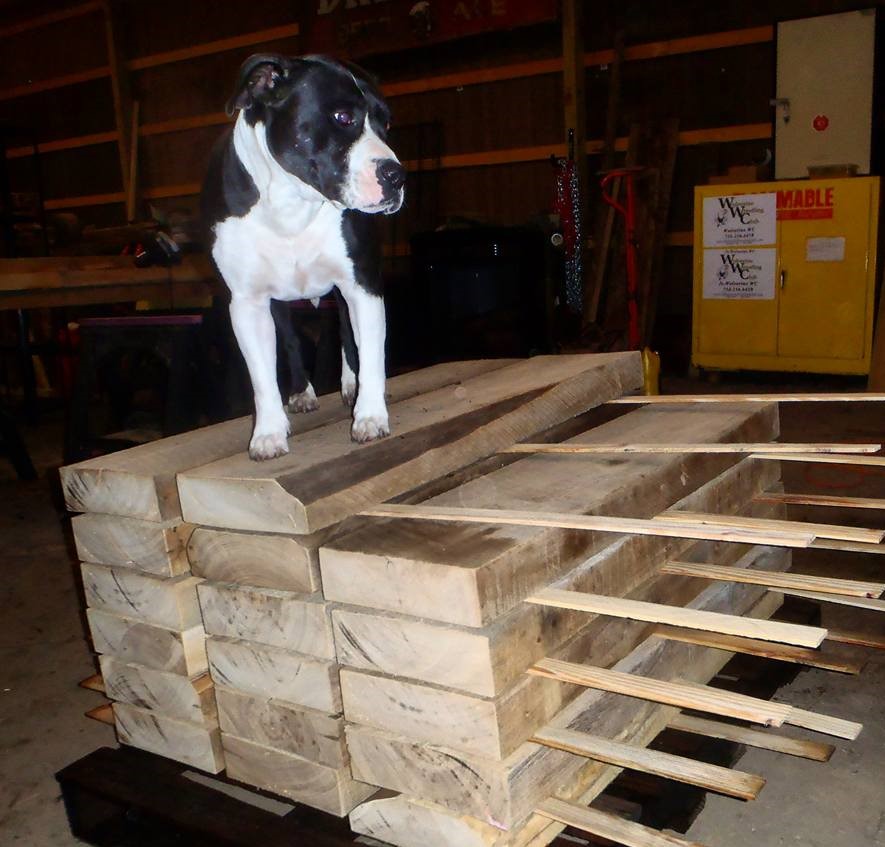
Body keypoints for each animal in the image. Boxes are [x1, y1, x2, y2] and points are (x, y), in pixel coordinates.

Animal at [200, 53, 404, 460]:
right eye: (343, 117)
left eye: (385, 123)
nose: (396, 175)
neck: (291, 201)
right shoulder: (247, 303)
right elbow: (262, 374)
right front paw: (267, 433)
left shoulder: (362, 285)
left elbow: (370, 351)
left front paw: (370, 415)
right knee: (292, 340)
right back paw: (301, 393)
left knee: (347, 334)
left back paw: (350, 386)